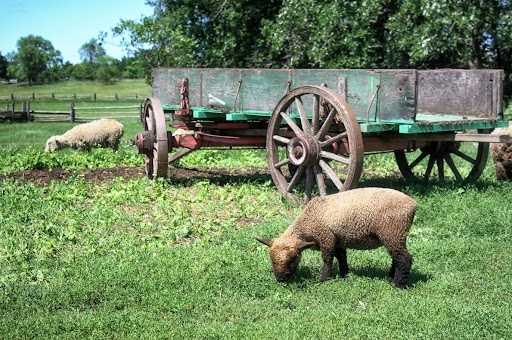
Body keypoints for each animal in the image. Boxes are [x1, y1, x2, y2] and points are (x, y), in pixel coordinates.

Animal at [258, 187, 418, 288]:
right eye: (272, 261)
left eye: (292, 260)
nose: (280, 279)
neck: (307, 222)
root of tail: (413, 204)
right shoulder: (338, 240)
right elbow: (341, 257)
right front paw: (345, 275)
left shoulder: (326, 238)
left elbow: (328, 259)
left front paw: (324, 280)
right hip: (395, 235)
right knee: (396, 258)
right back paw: (390, 279)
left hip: (392, 232)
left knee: (404, 258)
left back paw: (398, 284)